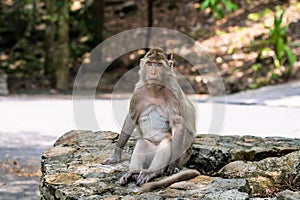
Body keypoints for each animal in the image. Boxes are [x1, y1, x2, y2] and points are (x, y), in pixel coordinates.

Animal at [103, 47, 199, 191]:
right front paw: (116, 155)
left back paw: (152, 172)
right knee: (142, 142)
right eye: (150, 64)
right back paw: (133, 173)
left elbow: (177, 124)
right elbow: (131, 118)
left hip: (183, 154)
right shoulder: (138, 93)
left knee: (167, 141)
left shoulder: (172, 93)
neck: (154, 90)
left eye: (159, 65)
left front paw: (172, 166)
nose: (153, 72)